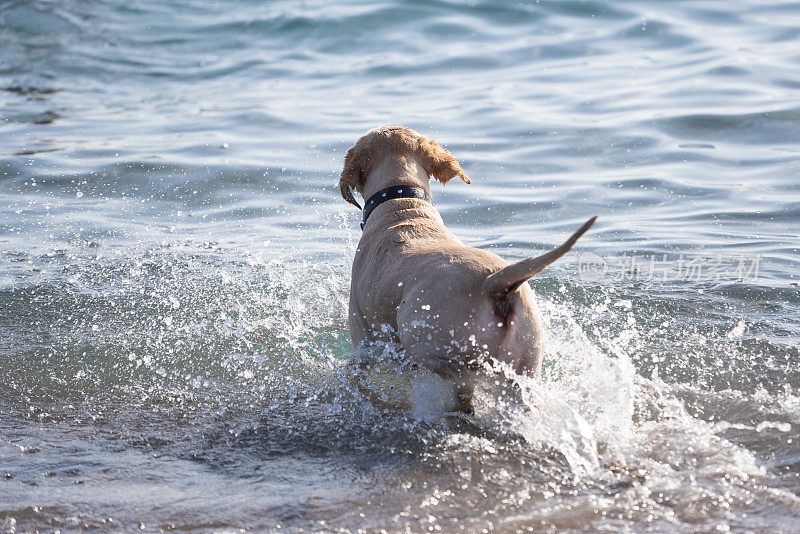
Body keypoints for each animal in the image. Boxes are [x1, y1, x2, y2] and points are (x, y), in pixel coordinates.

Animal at [338, 127, 592, 416]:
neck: (403, 202)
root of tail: (493, 282)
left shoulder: (364, 342)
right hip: (526, 362)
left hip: (418, 333)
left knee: (457, 376)